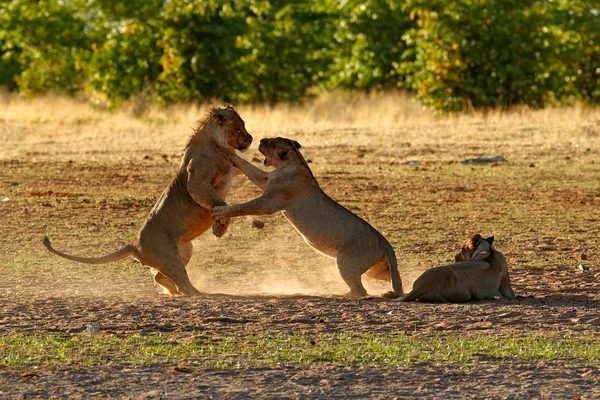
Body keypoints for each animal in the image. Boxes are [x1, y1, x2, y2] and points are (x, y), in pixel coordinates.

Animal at [42, 104, 253, 296]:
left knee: (159, 277)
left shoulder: (231, 169)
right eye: (238, 127)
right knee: (180, 281)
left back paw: (173, 291)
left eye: (243, 124)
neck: (217, 144)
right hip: (169, 256)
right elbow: (220, 203)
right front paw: (219, 228)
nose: (251, 139)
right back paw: (198, 293)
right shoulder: (197, 183)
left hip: (185, 249)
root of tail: (134, 243)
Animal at [211, 137, 404, 296]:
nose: (260, 140)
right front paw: (229, 153)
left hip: (347, 261)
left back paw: (339, 295)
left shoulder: (269, 202)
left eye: (270, 142)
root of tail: (385, 242)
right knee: (394, 280)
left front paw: (220, 211)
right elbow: (248, 167)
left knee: (361, 291)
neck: (294, 162)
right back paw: (391, 293)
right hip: (376, 270)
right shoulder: (265, 179)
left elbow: (243, 207)